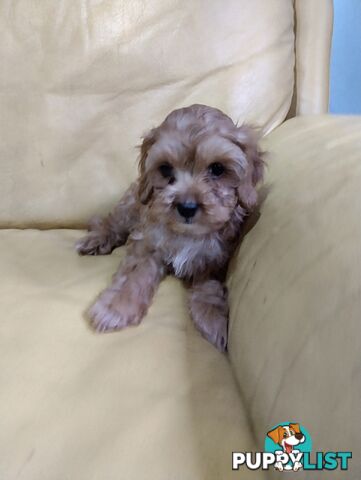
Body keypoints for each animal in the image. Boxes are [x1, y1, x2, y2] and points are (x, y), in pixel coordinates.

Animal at [76, 105, 262, 350]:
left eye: (217, 169)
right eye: (165, 169)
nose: (187, 207)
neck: (186, 234)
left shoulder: (214, 259)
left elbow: (209, 288)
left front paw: (213, 318)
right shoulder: (146, 244)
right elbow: (132, 277)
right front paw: (114, 307)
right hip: (130, 206)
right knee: (111, 222)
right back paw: (96, 239)